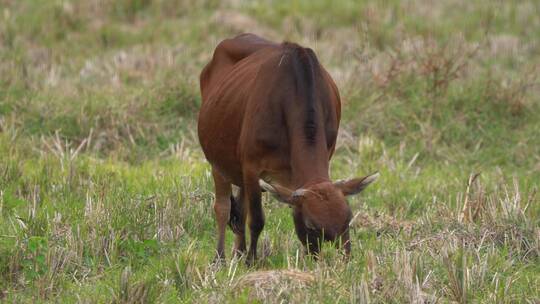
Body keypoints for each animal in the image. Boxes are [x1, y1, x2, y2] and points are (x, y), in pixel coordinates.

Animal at [198, 32, 380, 262]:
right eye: (311, 226)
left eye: (348, 219)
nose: (343, 261)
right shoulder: (251, 166)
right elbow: (256, 219)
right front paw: (251, 261)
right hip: (218, 163)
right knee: (223, 207)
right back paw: (220, 258)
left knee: (239, 209)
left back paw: (238, 253)